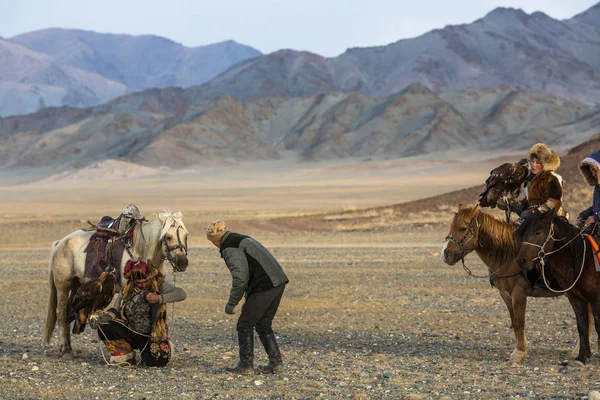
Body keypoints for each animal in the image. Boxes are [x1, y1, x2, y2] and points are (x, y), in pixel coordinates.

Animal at [42, 211, 188, 358]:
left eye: (186, 235)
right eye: (168, 237)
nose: (183, 262)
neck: (141, 250)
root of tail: (59, 243)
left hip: (77, 286)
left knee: (69, 312)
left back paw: (68, 348)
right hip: (63, 285)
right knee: (61, 315)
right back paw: (66, 350)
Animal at [438, 205, 564, 364]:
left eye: (462, 228)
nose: (445, 254)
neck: (508, 255)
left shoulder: (519, 293)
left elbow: (519, 321)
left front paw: (519, 352)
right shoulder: (505, 294)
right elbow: (514, 321)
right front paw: (523, 347)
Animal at [512, 211, 600, 364]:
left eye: (538, 232)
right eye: (523, 234)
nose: (521, 260)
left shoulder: (595, 298)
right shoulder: (576, 298)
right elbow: (582, 325)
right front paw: (581, 357)